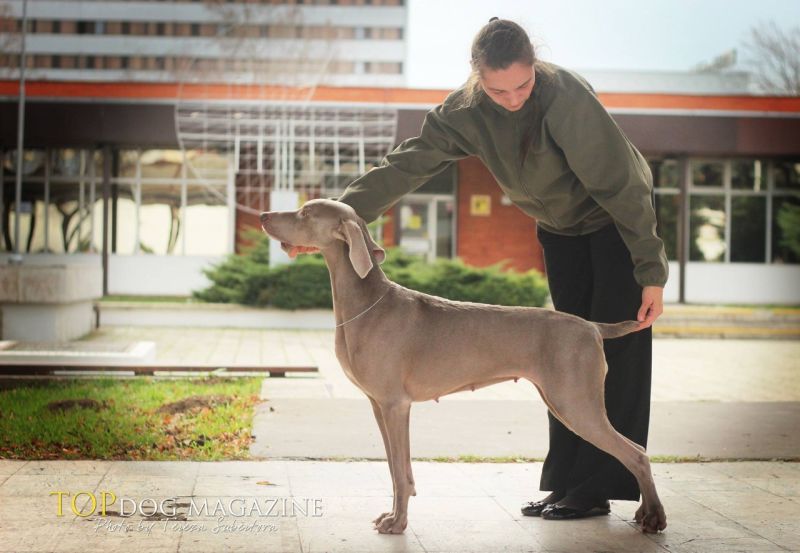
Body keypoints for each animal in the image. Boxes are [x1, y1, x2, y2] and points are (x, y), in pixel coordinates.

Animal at [260, 199, 664, 536]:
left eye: (305, 213)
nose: (263, 215)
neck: (366, 302)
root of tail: (592, 326)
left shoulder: (395, 405)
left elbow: (399, 471)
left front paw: (398, 523)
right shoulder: (379, 405)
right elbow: (396, 468)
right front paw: (394, 515)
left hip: (577, 402)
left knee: (637, 452)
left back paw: (653, 517)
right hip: (562, 399)